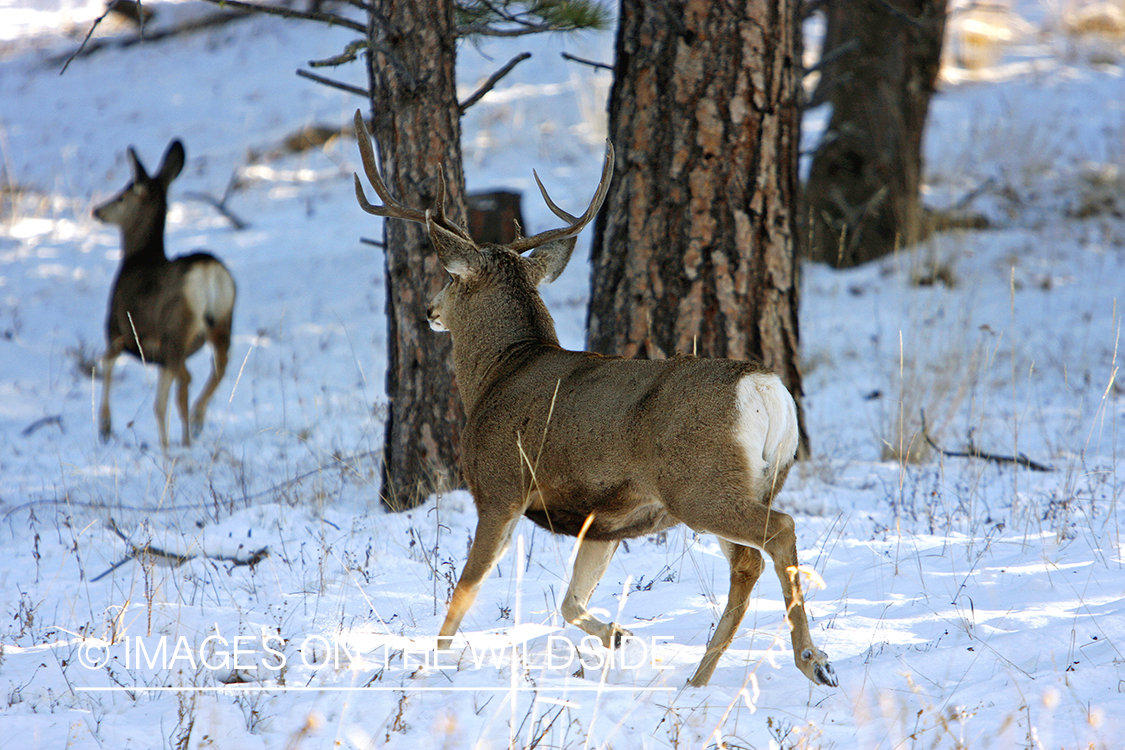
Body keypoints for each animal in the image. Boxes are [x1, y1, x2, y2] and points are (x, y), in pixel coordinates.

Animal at [93, 139, 236, 450]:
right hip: (222, 321)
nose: (96, 210)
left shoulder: (118, 328)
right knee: (218, 366)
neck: (136, 259)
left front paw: (105, 427)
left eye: (122, 196)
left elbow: (106, 363)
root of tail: (208, 272)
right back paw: (196, 421)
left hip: (175, 328)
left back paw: (180, 436)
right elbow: (165, 395)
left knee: (182, 382)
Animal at [351, 111, 837, 689]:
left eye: (450, 277)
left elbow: (463, 594)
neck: (498, 374)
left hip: (698, 484)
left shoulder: (500, 488)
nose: (428, 310)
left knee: (778, 532)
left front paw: (433, 664)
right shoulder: (603, 520)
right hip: (749, 480)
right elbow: (570, 602)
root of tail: (765, 387)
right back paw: (700, 679)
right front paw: (622, 637)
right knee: (747, 563)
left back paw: (812, 660)